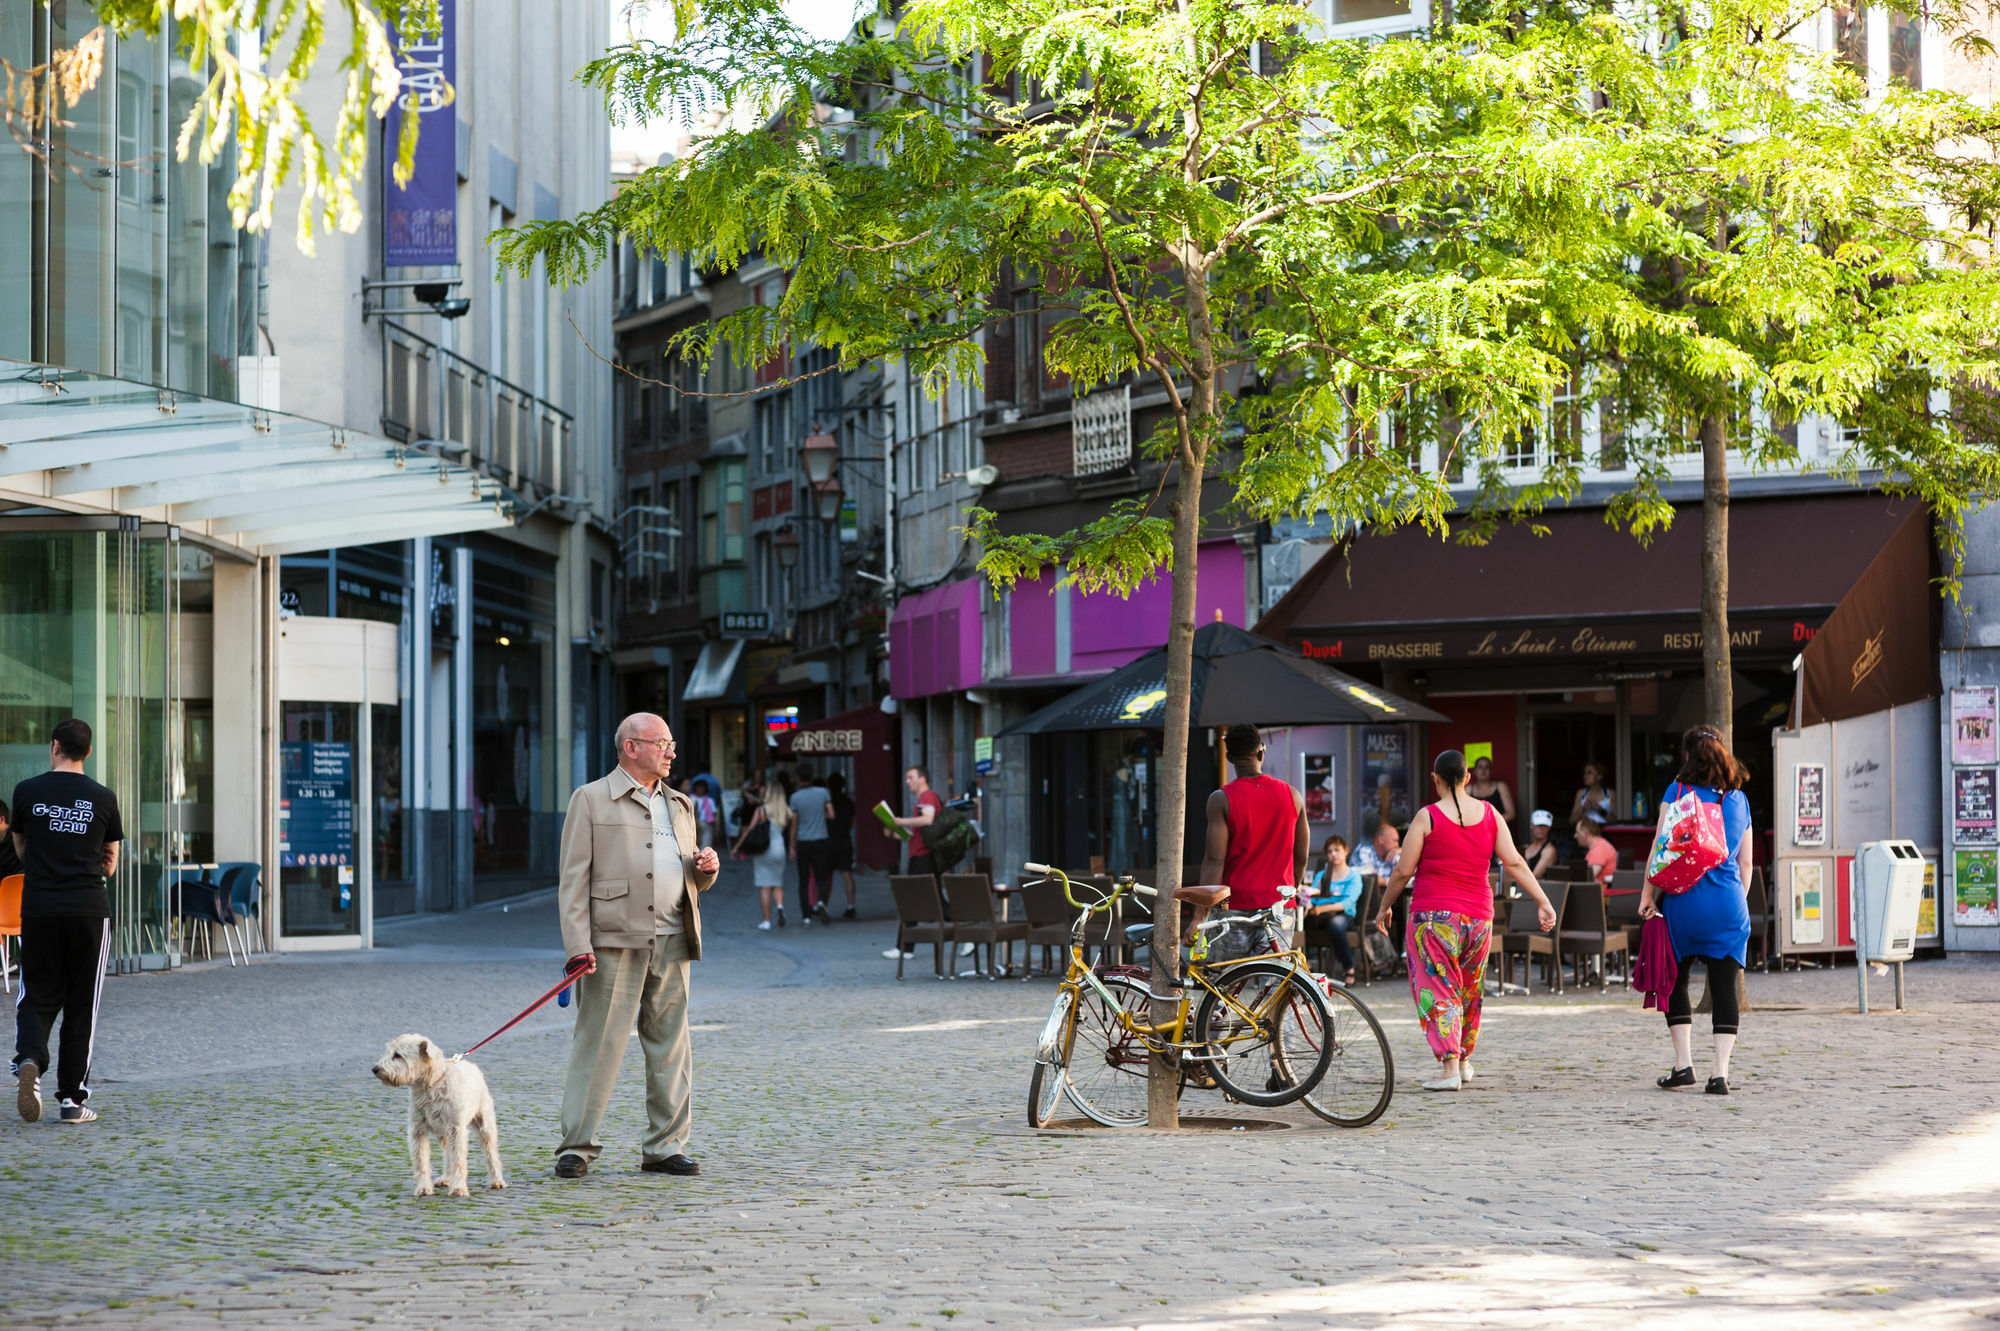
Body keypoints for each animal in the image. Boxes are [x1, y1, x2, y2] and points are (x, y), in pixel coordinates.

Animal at [372, 1023, 508, 1191]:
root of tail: (472, 1066)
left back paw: (497, 1180)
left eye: (398, 1055)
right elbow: (421, 1163)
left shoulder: (457, 1130)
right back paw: (446, 1178)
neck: (432, 1085)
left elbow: (459, 1161)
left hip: (484, 1125)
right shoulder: (418, 1130)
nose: (375, 1069)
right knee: (448, 1155)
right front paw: (423, 1188)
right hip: (443, 1133)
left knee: (490, 1154)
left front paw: (459, 1188)